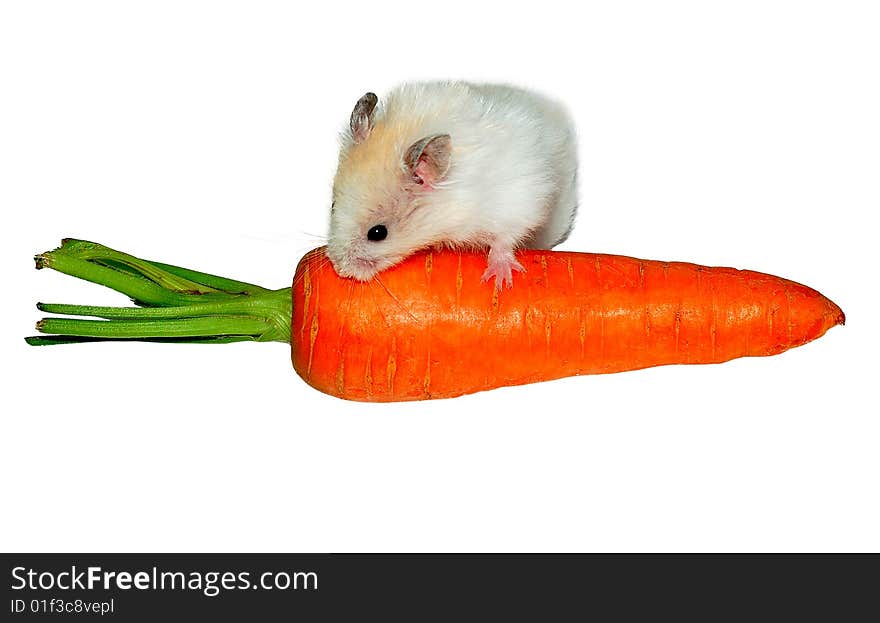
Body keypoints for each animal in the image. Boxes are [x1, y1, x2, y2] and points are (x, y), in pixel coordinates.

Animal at [324, 78, 576, 290]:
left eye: (378, 233)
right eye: (333, 206)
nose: (340, 269)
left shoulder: (517, 206)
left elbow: (503, 241)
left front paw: (500, 282)